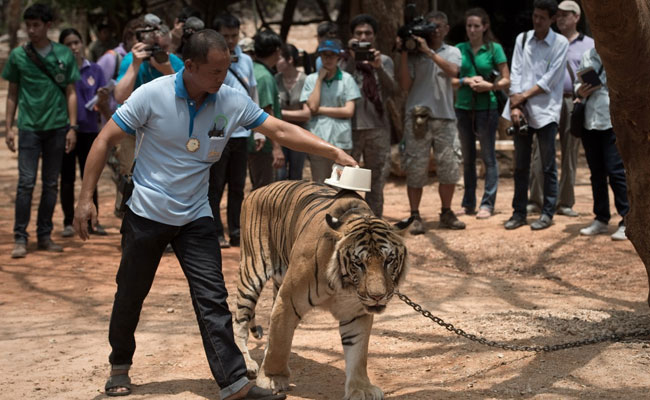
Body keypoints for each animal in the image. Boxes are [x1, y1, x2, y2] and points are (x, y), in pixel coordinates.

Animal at [233, 180, 412, 400]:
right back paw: (248, 364)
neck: (344, 285)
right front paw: (271, 379)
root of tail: (258, 190)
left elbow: (358, 352)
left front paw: (361, 388)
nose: (377, 296)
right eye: (359, 263)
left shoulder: (356, 312)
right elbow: (280, 343)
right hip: (251, 272)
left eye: (388, 260)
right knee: (240, 323)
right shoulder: (288, 300)